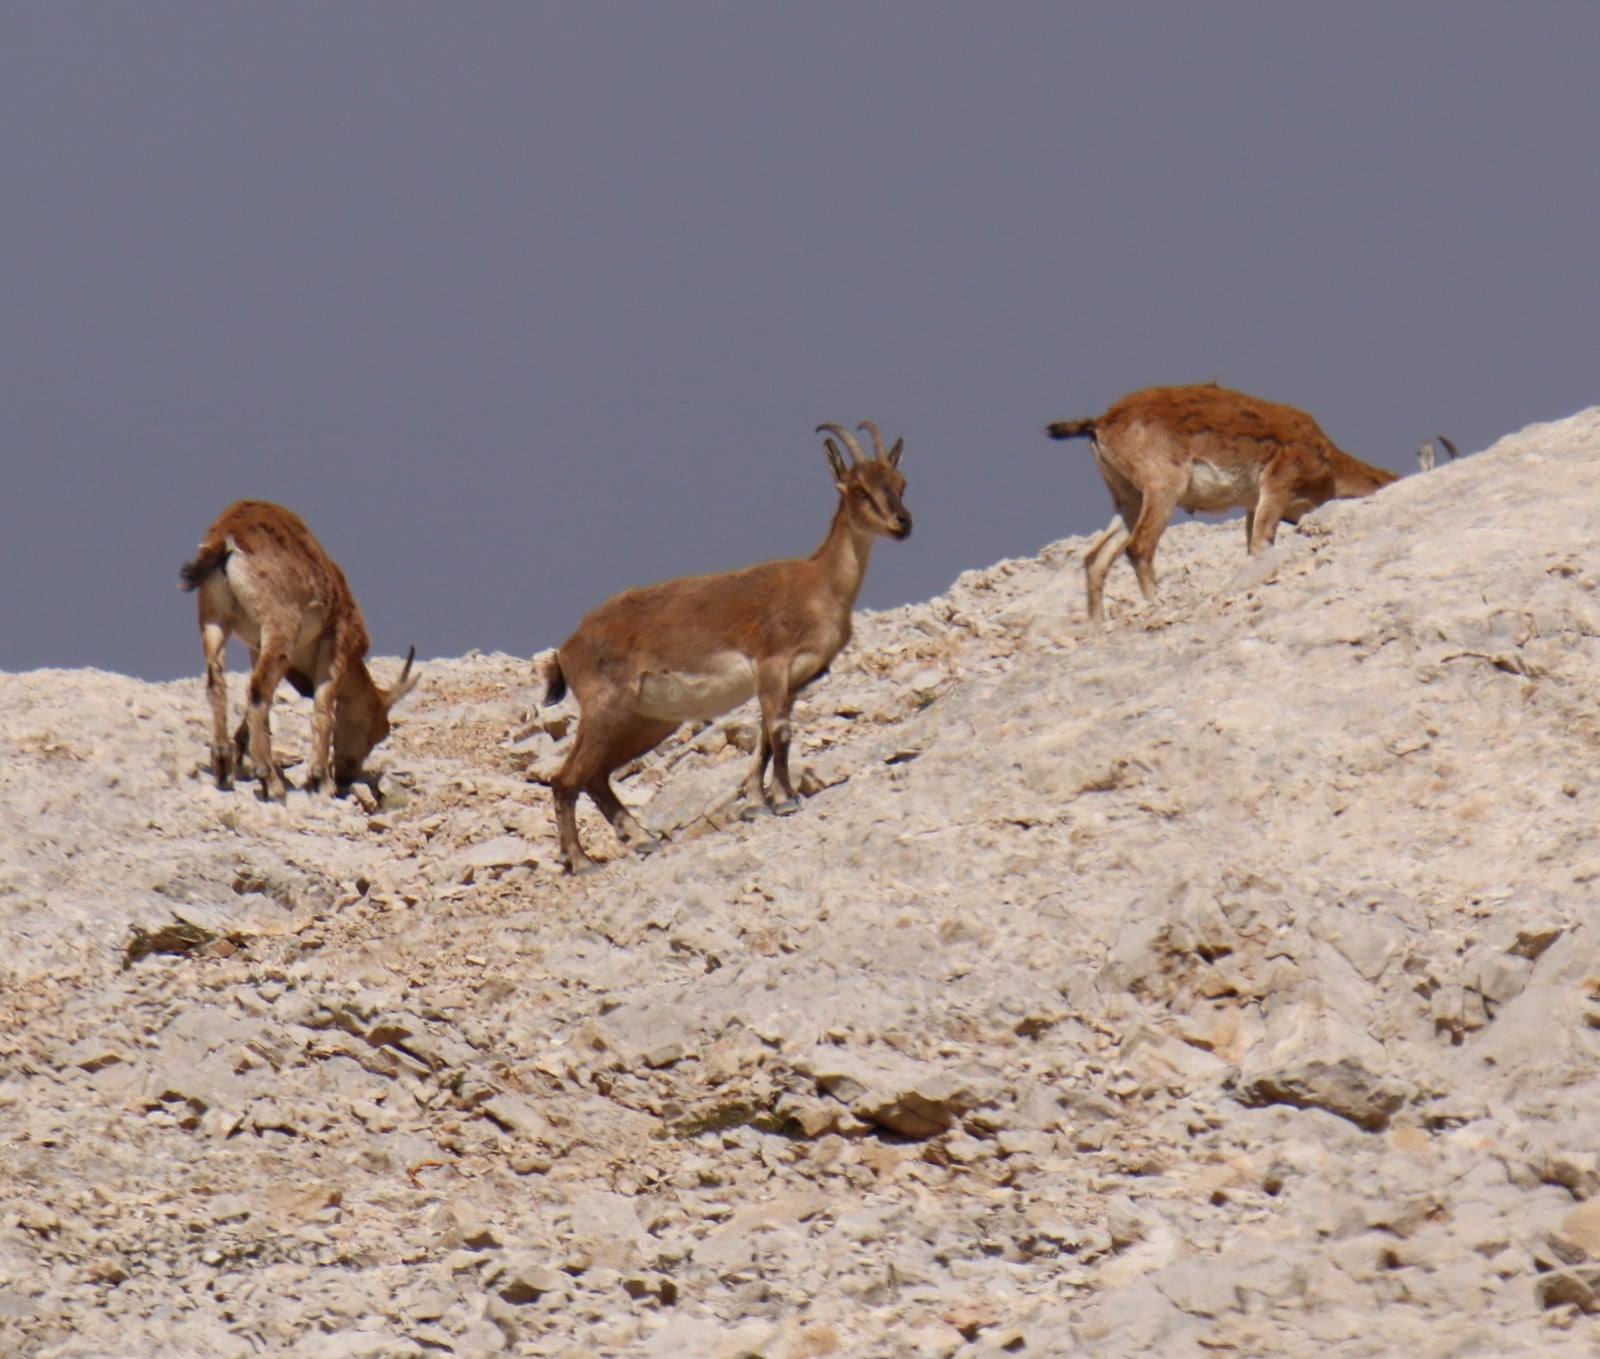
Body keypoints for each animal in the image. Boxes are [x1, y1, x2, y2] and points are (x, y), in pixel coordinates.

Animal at [179, 500, 419, 801]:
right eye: (379, 730)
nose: (347, 775)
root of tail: (227, 540)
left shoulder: (257, 645)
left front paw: (242, 751)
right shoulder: (336, 640)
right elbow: (323, 710)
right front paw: (321, 780)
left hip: (214, 617)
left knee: (217, 684)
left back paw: (223, 765)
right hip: (279, 626)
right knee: (258, 691)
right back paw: (270, 781)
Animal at [541, 422, 912, 873]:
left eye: (901, 483)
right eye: (858, 489)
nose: (902, 524)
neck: (819, 587)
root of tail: (567, 649)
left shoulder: (792, 681)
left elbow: (767, 740)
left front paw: (757, 803)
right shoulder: (772, 664)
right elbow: (779, 733)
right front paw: (785, 800)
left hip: (647, 721)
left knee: (595, 776)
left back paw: (642, 839)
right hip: (604, 709)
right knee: (566, 779)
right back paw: (580, 860)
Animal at [1047, 384, 1399, 622]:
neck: (1328, 461)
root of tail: (1101, 423)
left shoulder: (1253, 505)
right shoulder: (1276, 486)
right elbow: (1261, 545)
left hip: (1128, 499)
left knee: (1096, 558)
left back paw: (1097, 624)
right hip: (1163, 488)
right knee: (1139, 546)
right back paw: (1157, 604)